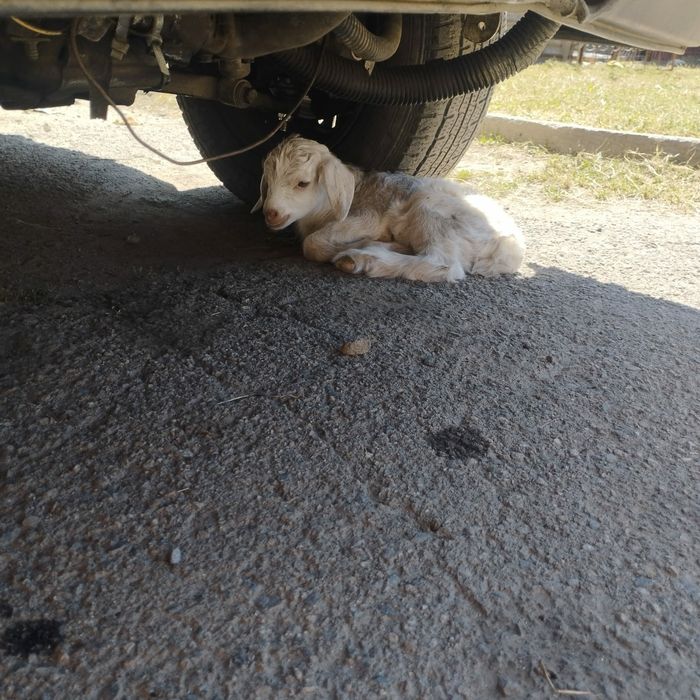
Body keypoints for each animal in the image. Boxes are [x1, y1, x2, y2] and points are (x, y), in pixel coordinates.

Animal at [252, 135, 525, 282]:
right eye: (267, 181)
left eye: (303, 183)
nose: (271, 213)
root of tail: (511, 249)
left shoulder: (366, 217)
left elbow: (311, 243)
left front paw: (339, 247)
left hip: (432, 212)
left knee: (443, 264)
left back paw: (358, 258)